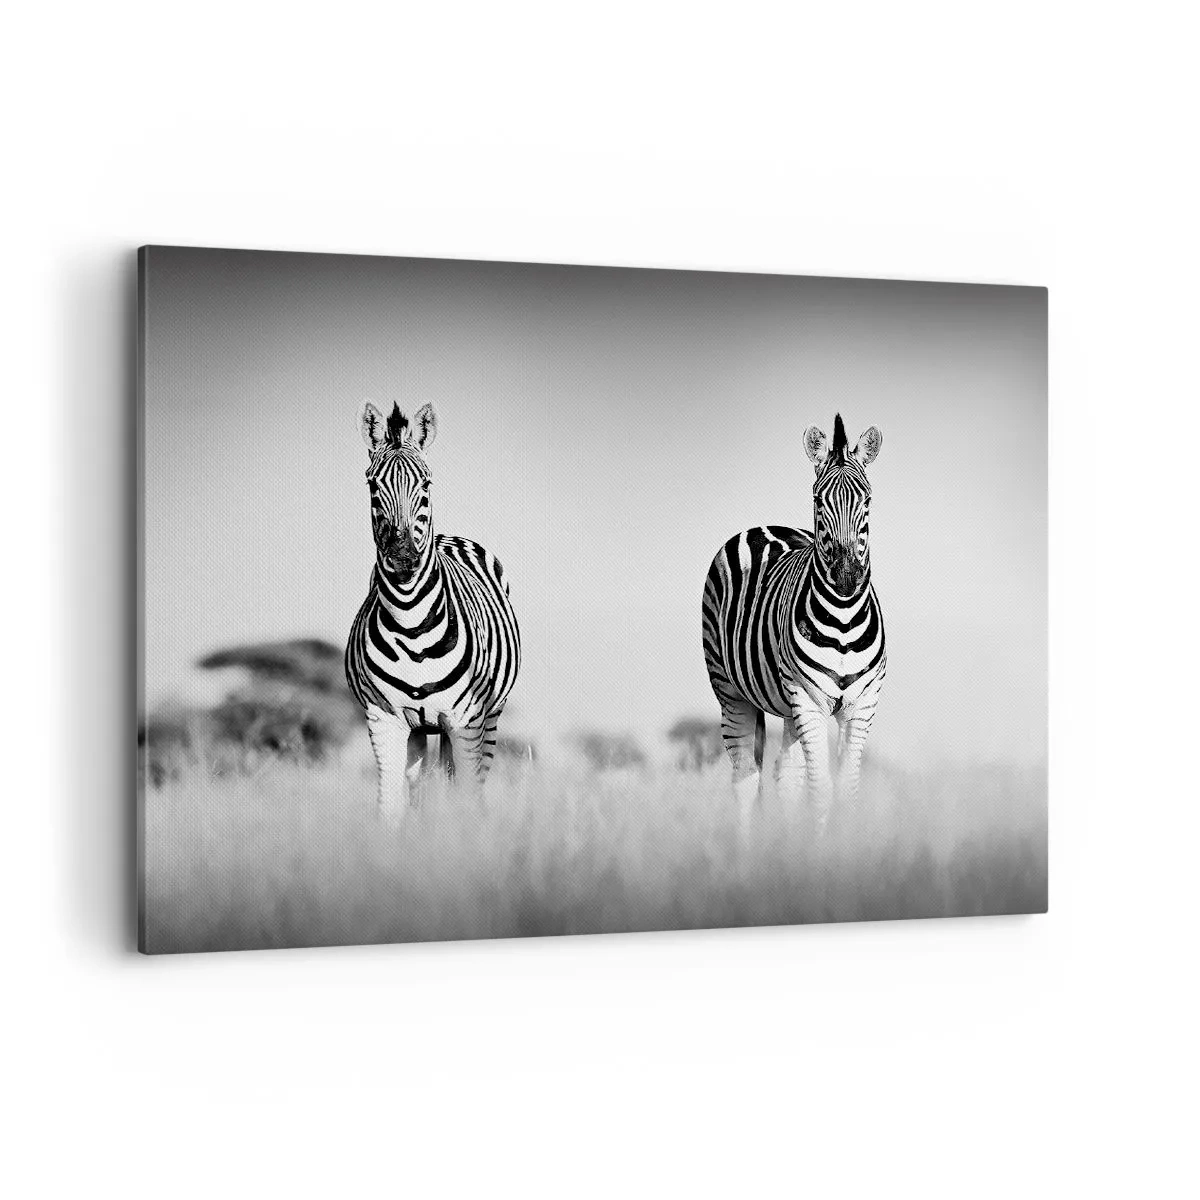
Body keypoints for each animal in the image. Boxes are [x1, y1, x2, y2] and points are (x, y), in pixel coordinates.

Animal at [346, 400, 521, 822]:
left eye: (426, 484)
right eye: (372, 485)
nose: (403, 558)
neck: (411, 624)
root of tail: (448, 536)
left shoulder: (467, 722)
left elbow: (467, 798)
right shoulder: (384, 720)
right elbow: (390, 808)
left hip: (489, 719)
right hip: (421, 730)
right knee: (421, 786)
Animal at [701, 413, 885, 830]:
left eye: (867, 500)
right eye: (818, 500)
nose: (847, 577)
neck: (844, 620)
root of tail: (764, 526)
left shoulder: (861, 705)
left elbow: (845, 791)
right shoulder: (808, 699)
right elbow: (821, 791)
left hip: (788, 707)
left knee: (786, 776)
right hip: (730, 690)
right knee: (745, 779)